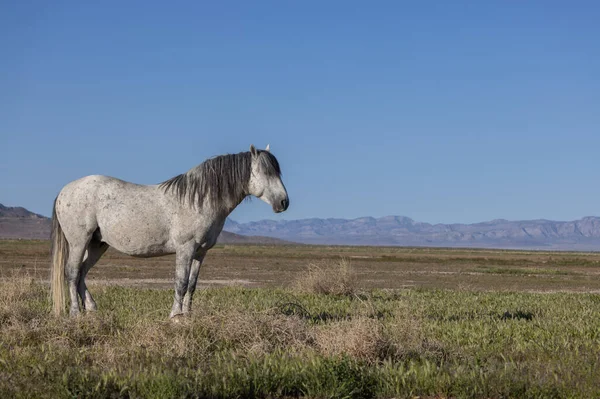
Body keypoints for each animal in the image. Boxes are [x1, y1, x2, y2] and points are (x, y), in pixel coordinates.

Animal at [50, 145, 290, 318]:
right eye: (264, 172)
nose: (284, 202)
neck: (198, 200)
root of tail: (65, 191)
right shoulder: (185, 248)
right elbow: (180, 282)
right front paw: (175, 315)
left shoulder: (201, 252)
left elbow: (192, 284)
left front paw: (188, 315)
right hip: (79, 241)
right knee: (72, 273)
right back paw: (75, 313)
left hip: (97, 244)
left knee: (82, 273)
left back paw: (91, 308)